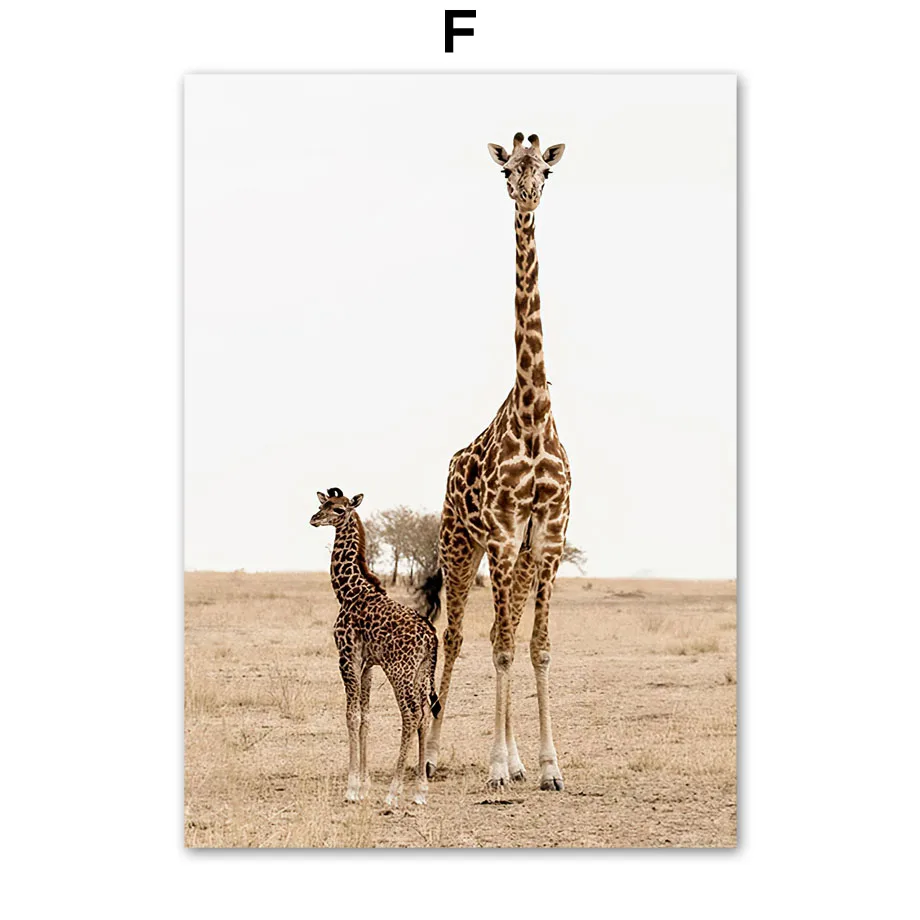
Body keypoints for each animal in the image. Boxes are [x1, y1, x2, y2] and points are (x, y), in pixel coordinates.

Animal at [311, 487, 441, 807]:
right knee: (423, 715)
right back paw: (419, 791)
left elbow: (351, 716)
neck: (347, 591)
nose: (314, 519)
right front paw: (365, 785)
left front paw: (351, 788)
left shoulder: (346, 656)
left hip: (400, 671)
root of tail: (431, 636)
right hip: (421, 672)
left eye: (339, 509)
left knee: (411, 715)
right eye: (323, 503)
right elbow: (366, 718)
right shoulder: (368, 663)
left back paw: (394, 791)